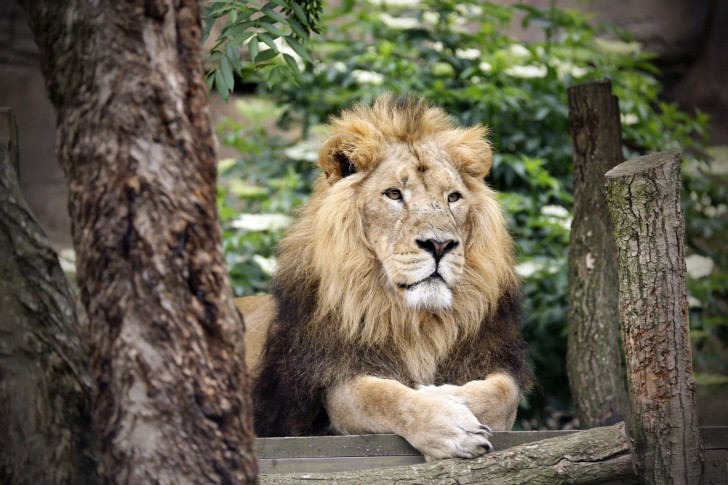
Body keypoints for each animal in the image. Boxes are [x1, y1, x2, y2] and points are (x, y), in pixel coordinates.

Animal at [235, 94, 532, 461]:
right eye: (393, 194)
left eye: (453, 197)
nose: (439, 244)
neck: (417, 322)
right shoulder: (336, 380)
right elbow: (387, 396)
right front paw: (448, 423)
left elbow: (503, 393)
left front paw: (445, 394)